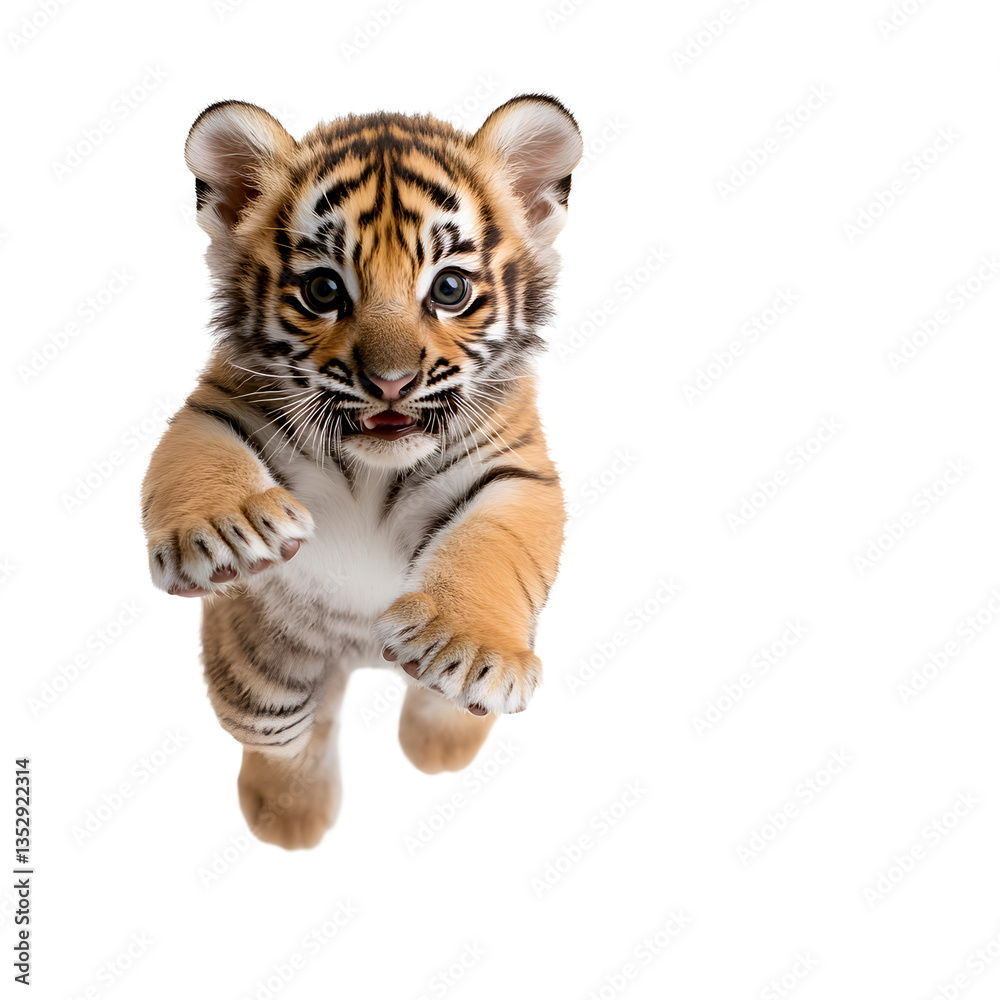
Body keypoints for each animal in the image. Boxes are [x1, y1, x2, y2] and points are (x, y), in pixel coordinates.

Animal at [140, 94, 583, 849]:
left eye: (450, 288)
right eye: (323, 291)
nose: (391, 383)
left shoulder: (513, 471)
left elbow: (492, 545)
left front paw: (470, 651)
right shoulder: (219, 406)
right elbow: (198, 459)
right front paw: (226, 531)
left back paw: (443, 734)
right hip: (261, 674)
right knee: (282, 736)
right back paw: (289, 817)